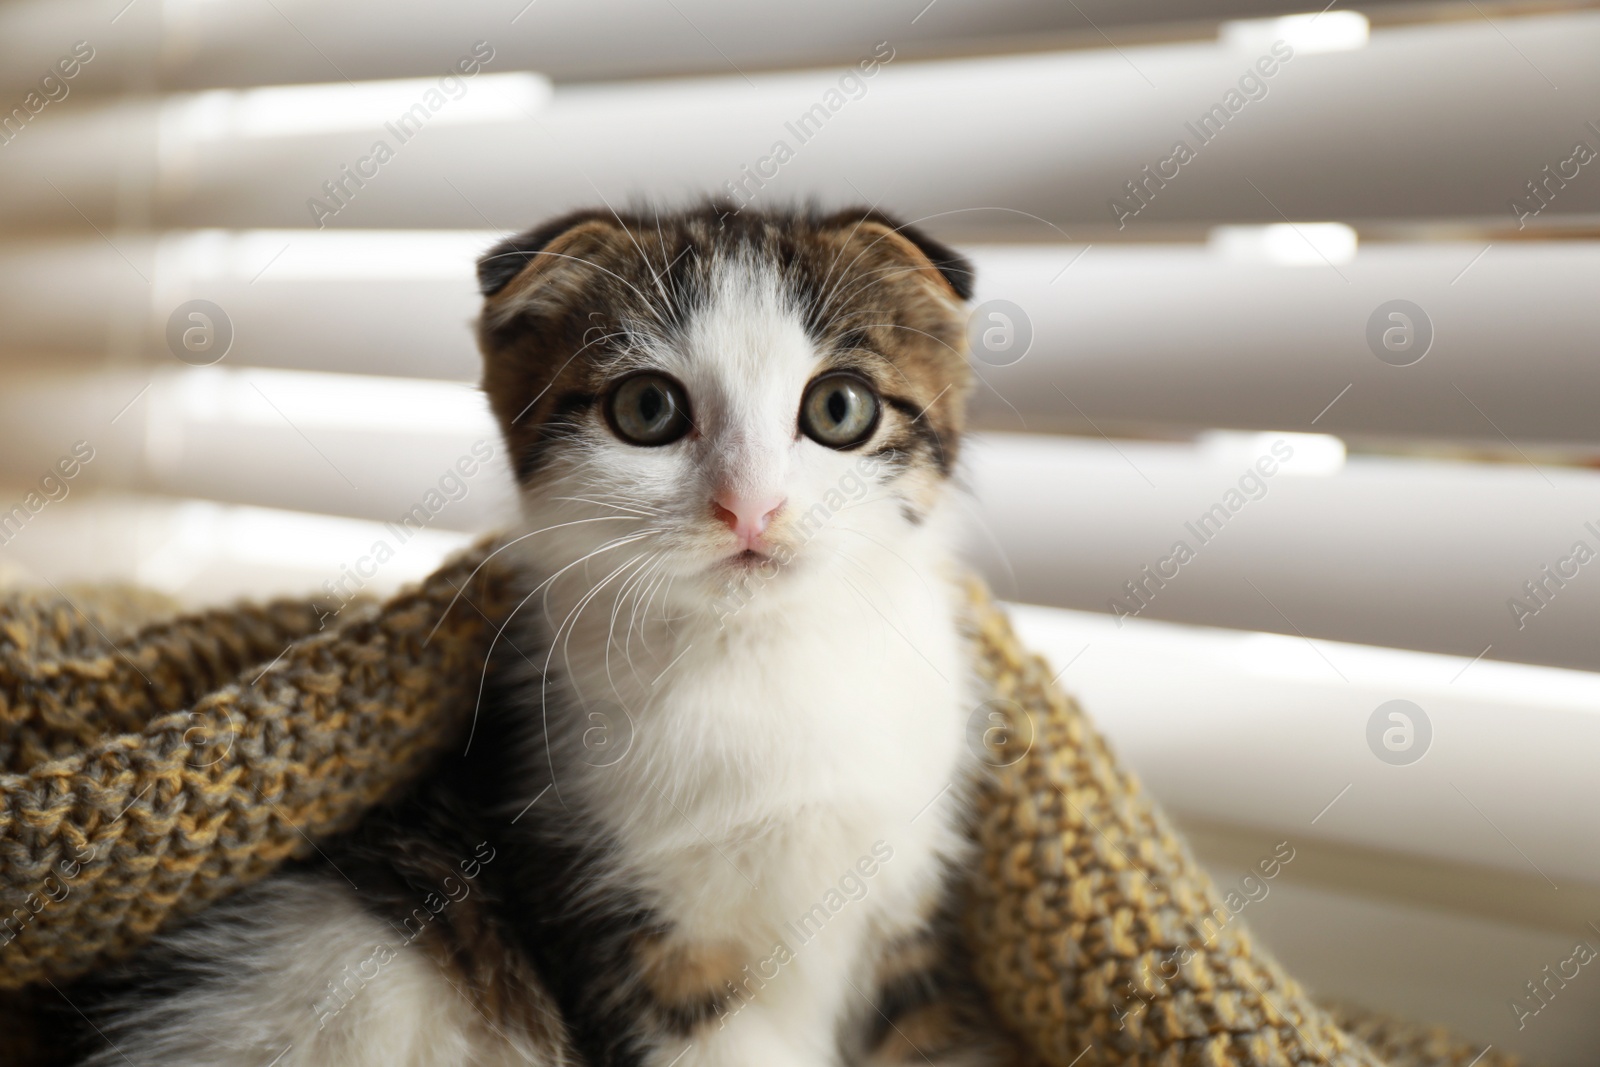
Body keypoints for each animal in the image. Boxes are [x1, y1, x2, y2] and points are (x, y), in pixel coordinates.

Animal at [72, 204, 1011, 1062]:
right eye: (647, 406)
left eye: (840, 407)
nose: (750, 506)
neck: (760, 658)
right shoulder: (619, 916)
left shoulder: (908, 906)